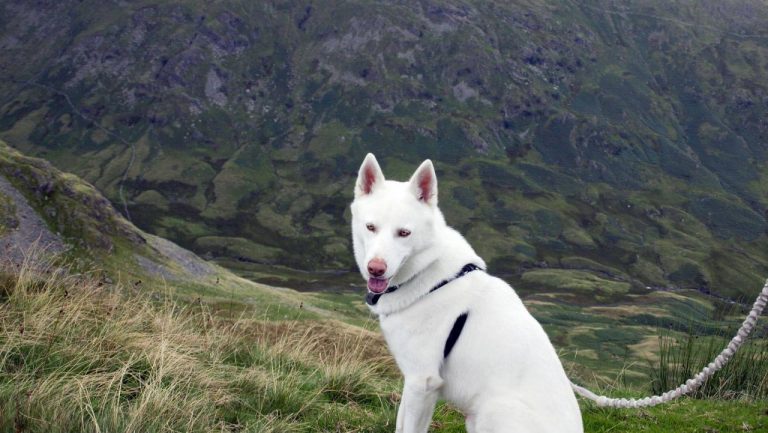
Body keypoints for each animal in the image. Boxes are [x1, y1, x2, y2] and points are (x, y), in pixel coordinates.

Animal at [350, 154, 584, 430]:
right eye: (370, 227)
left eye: (404, 233)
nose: (375, 269)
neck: (429, 276)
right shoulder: (412, 380)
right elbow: (400, 424)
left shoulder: (423, 382)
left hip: (493, 410)